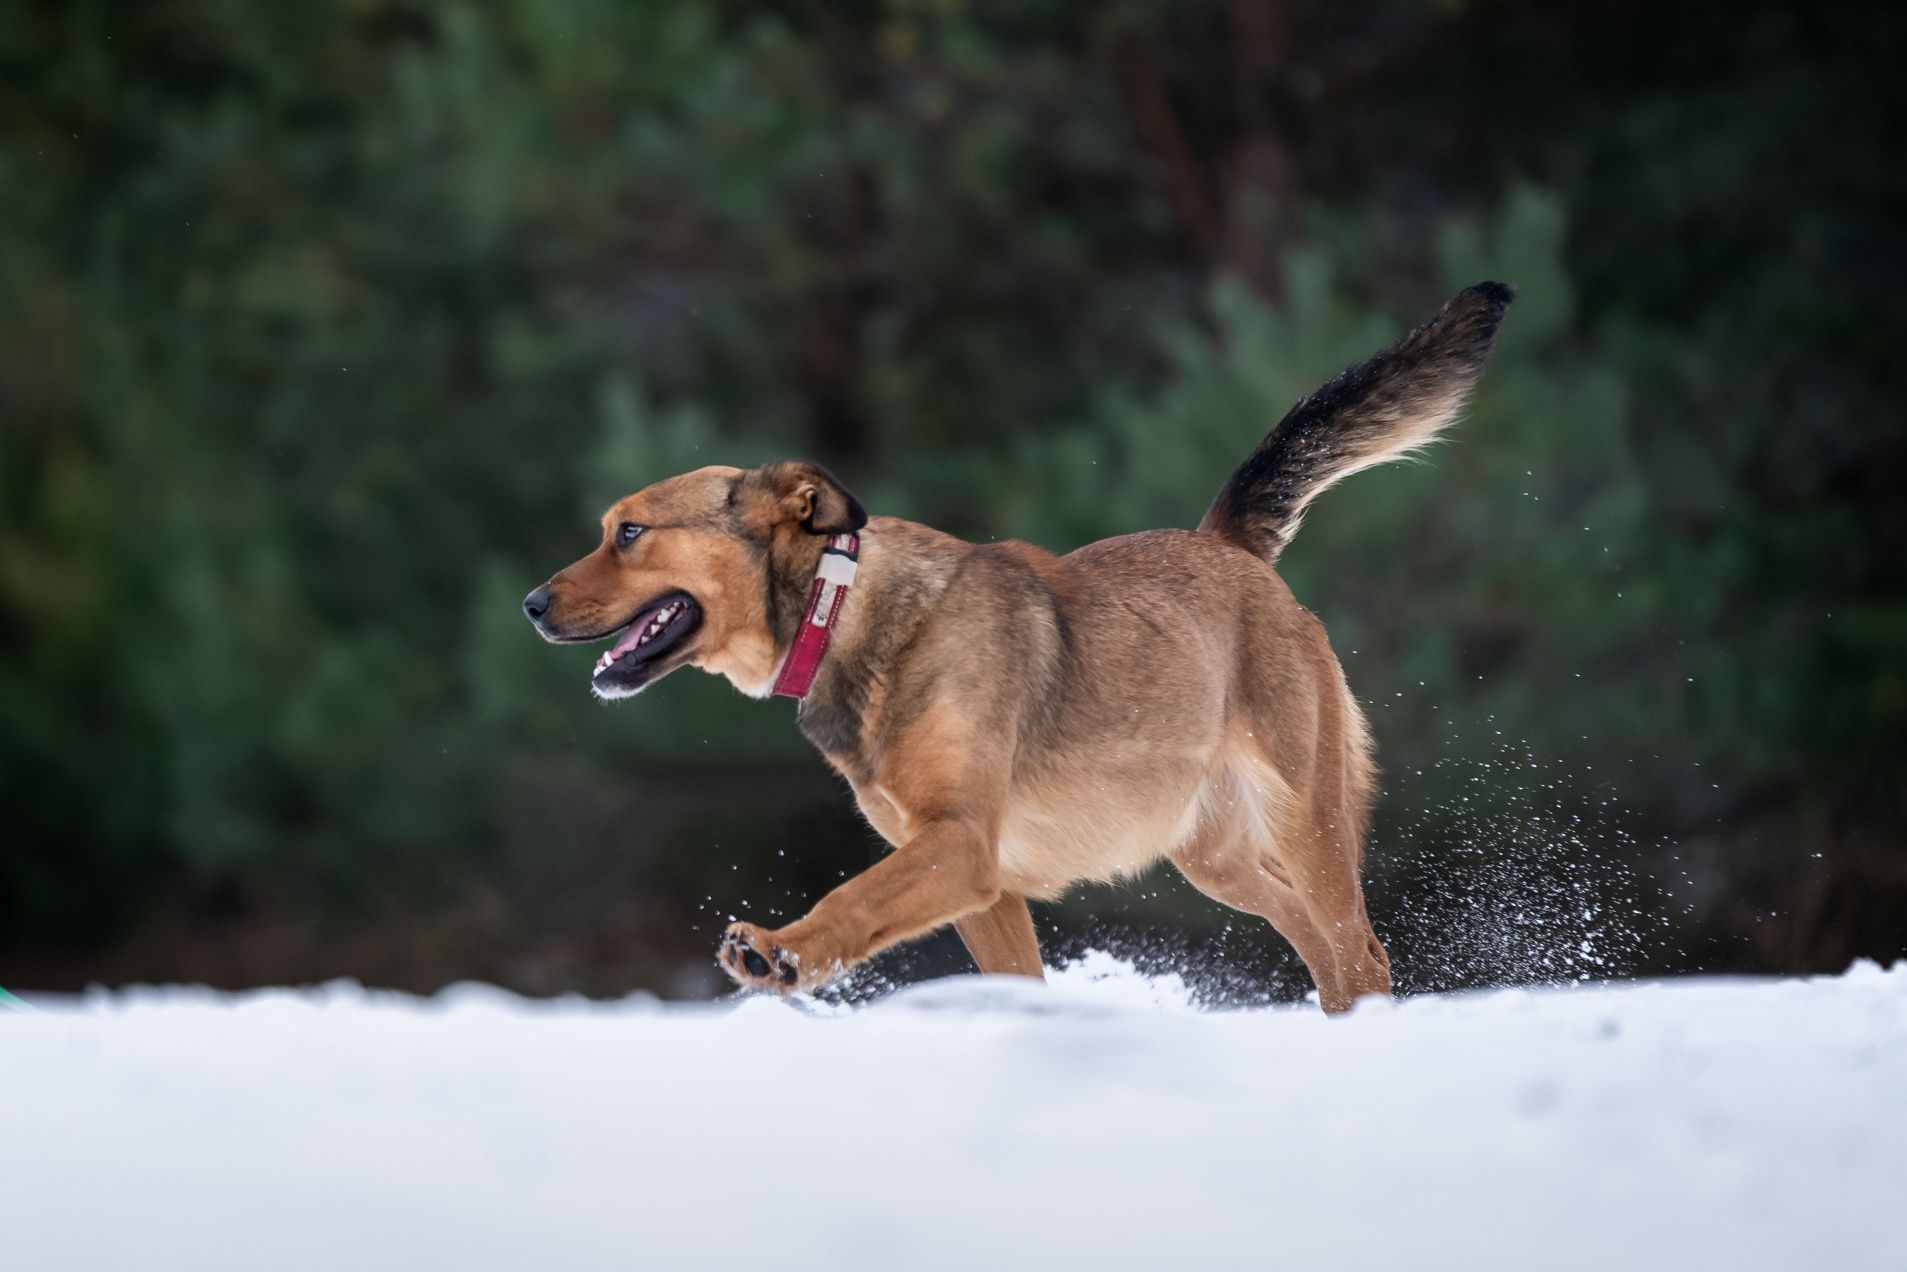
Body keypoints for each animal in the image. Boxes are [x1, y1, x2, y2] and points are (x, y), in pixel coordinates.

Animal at [530, 280, 1510, 1014]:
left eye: (628, 532)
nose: (533, 606)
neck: (841, 613)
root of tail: (1225, 547)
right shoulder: (984, 882)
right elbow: (1005, 976)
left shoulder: (959, 845)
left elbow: (851, 896)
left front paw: (779, 949)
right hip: (1215, 855)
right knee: (1322, 948)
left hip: (1305, 816)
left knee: (1359, 952)